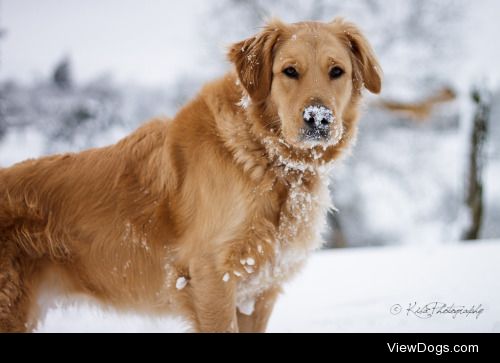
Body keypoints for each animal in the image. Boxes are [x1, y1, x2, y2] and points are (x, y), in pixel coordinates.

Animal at [0, 18, 380, 334]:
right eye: (289, 71)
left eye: (336, 71)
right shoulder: (211, 276)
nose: (319, 118)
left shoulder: (259, 290)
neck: (265, 158)